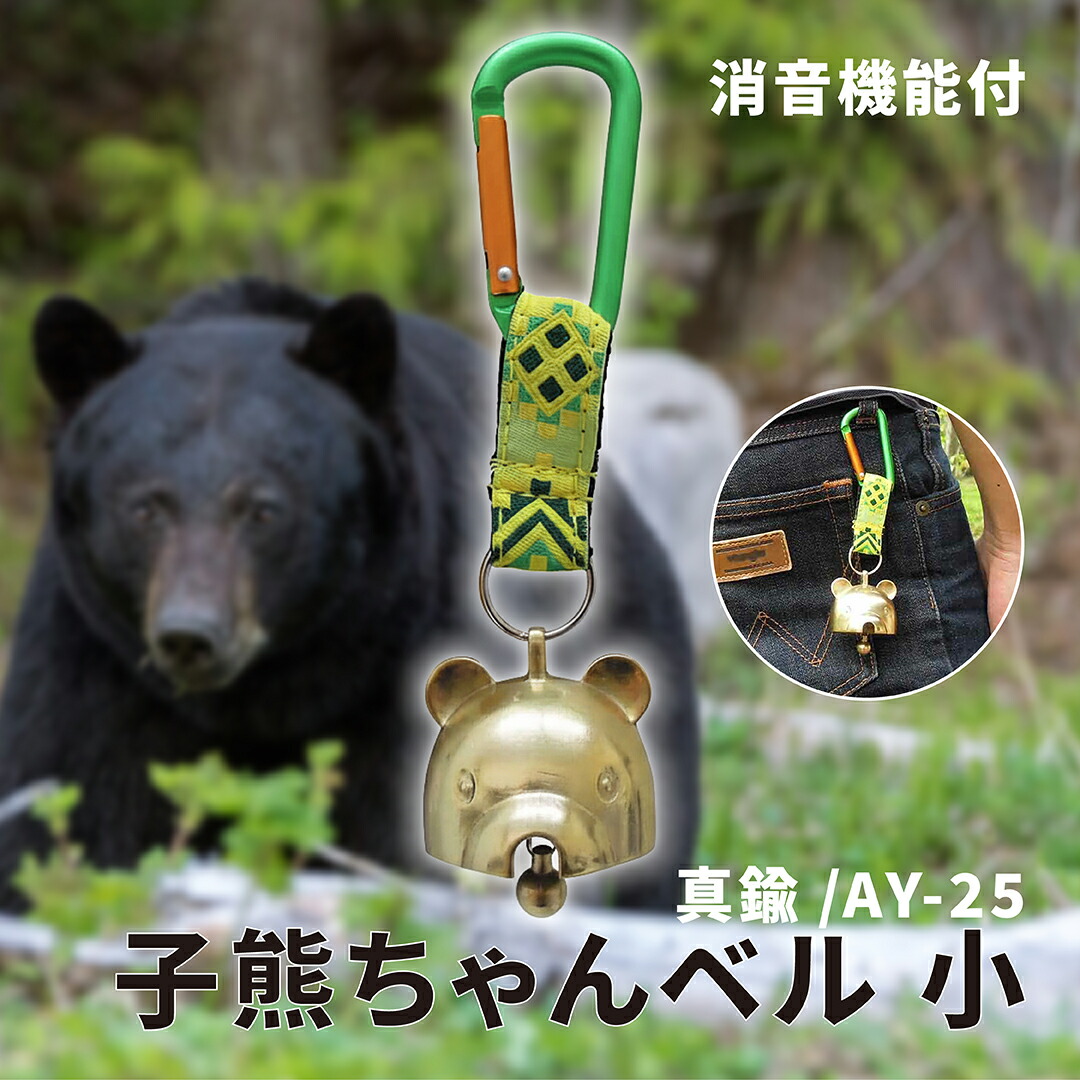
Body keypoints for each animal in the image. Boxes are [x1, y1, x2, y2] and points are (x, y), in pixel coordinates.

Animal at [0, 278, 699, 912]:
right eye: (145, 508)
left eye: (263, 510)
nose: (190, 635)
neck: (262, 698)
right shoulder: (94, 666)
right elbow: (78, 807)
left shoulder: (398, 661)